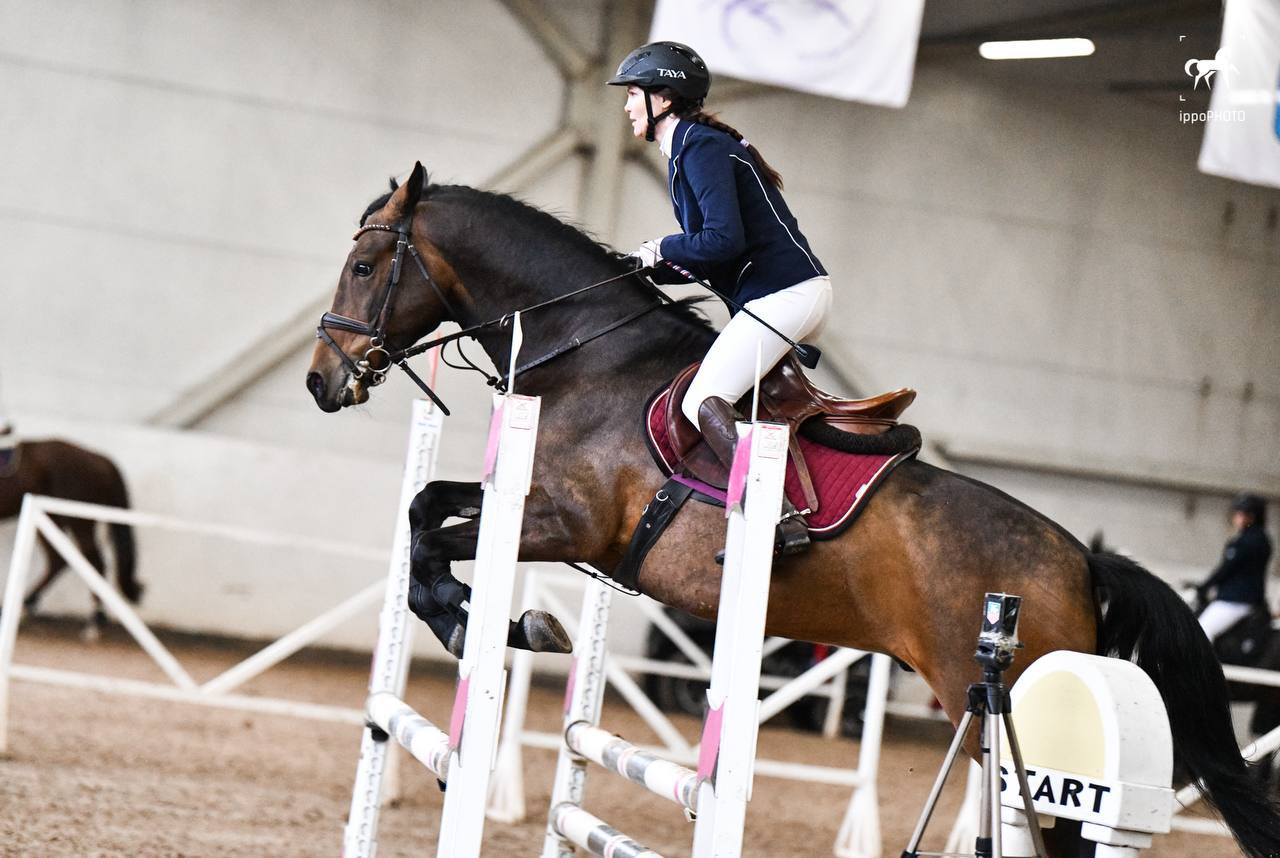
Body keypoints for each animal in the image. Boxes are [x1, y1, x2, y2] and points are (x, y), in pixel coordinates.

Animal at [0, 437, 142, 637]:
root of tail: (100, 459)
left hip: (78, 520)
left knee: (94, 562)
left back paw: (94, 623)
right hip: (51, 517)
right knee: (58, 560)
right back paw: (27, 606)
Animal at [307, 165, 1280, 855]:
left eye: (363, 265)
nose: (322, 383)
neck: (585, 356)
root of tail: (1081, 555)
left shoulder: (568, 523)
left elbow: (436, 539)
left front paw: (491, 621)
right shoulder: (540, 511)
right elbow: (425, 514)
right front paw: (489, 621)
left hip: (1004, 713)